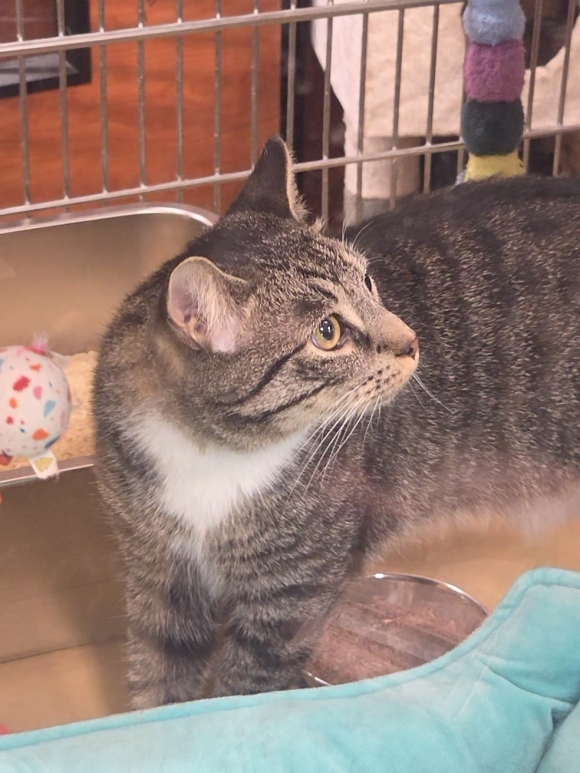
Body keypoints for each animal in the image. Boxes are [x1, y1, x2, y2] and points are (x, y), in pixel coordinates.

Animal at [93, 136, 580, 708]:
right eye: (327, 332)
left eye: (369, 283)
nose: (412, 341)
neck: (210, 451)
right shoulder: (160, 573)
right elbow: (159, 682)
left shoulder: (293, 593)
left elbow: (245, 689)